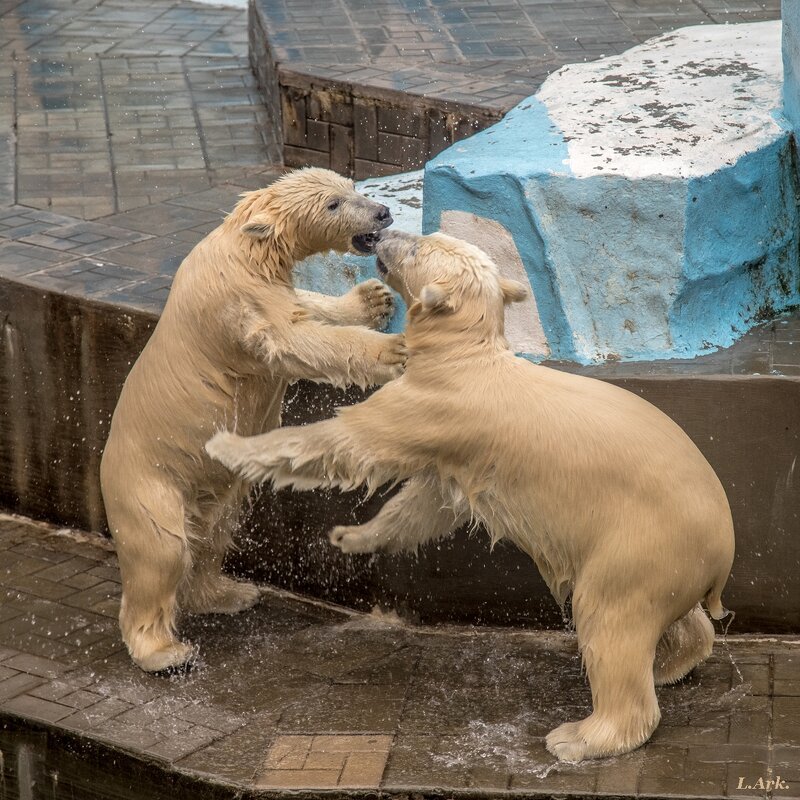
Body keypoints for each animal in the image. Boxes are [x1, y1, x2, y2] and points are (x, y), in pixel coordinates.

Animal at [98, 169, 406, 676]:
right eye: (333, 204)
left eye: (350, 186)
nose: (381, 213)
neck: (245, 248)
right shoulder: (238, 300)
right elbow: (293, 337)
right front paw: (394, 350)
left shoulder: (266, 285)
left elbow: (304, 306)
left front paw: (373, 299)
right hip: (147, 486)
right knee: (161, 552)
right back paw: (165, 652)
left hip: (207, 491)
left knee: (214, 533)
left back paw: (231, 593)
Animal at [208, 227, 736, 764]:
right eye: (427, 235)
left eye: (415, 247)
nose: (385, 230)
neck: (463, 355)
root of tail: (722, 552)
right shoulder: (455, 445)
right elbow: (428, 503)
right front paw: (350, 536)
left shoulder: (431, 405)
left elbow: (345, 443)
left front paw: (229, 446)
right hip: (668, 560)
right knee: (671, 617)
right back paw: (672, 665)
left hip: (637, 544)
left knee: (610, 620)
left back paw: (579, 736)